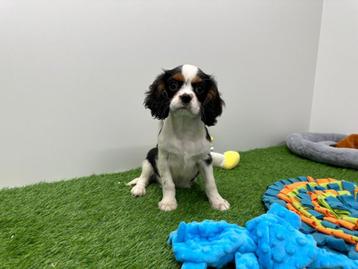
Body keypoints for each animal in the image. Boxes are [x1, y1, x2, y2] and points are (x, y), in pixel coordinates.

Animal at [127, 63, 231, 210]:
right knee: (144, 178)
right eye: (173, 85)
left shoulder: (205, 159)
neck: (184, 127)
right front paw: (168, 202)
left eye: (200, 88)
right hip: (150, 158)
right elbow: (168, 183)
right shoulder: (163, 158)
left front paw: (218, 201)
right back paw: (138, 189)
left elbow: (211, 183)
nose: (186, 97)